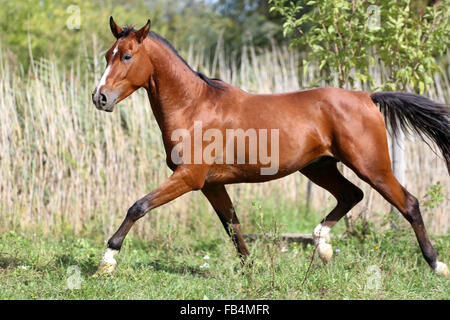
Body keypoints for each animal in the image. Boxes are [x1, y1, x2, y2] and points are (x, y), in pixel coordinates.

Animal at [92, 17, 450, 276]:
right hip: (319, 167)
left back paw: (436, 265)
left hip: (371, 165)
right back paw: (322, 245)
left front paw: (107, 262)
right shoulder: (210, 184)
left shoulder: (189, 177)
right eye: (108, 55)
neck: (194, 106)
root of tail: (367, 96)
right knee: (352, 195)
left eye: (127, 56)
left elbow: (138, 206)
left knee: (409, 203)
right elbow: (233, 227)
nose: (100, 98)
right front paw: (253, 270)